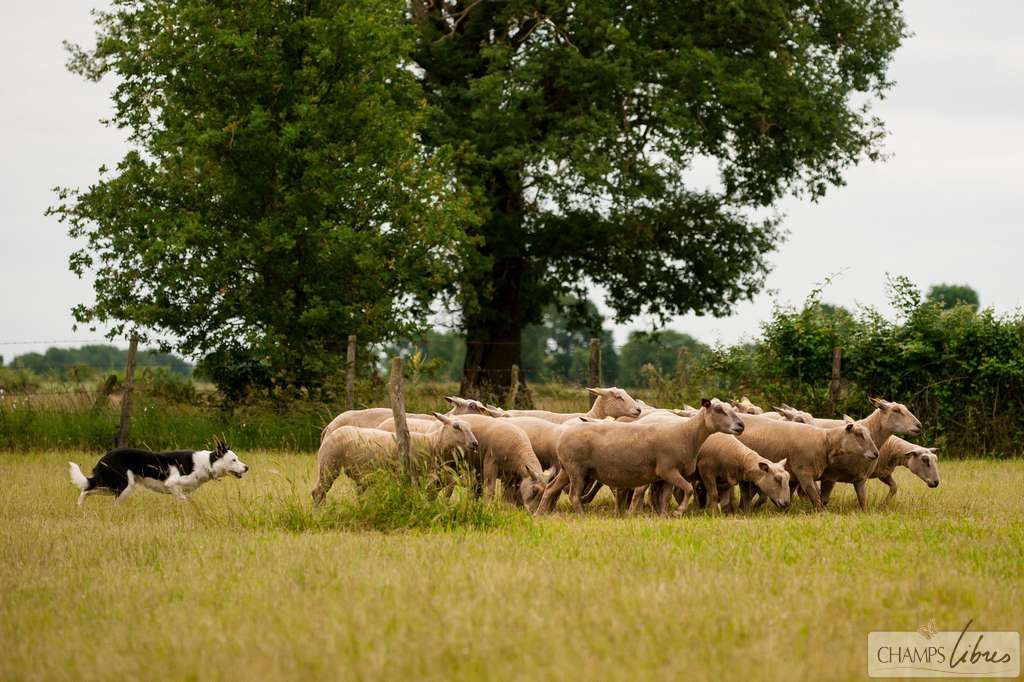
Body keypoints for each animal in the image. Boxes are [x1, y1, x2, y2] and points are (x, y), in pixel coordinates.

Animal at [536, 395, 745, 512]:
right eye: (718, 409)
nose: (741, 425)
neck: (686, 433)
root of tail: (561, 436)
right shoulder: (668, 470)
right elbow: (688, 489)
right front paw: (678, 512)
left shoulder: (665, 477)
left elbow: (665, 498)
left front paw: (664, 516)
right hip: (577, 470)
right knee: (573, 495)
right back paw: (581, 517)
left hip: (567, 469)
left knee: (551, 489)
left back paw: (540, 514)